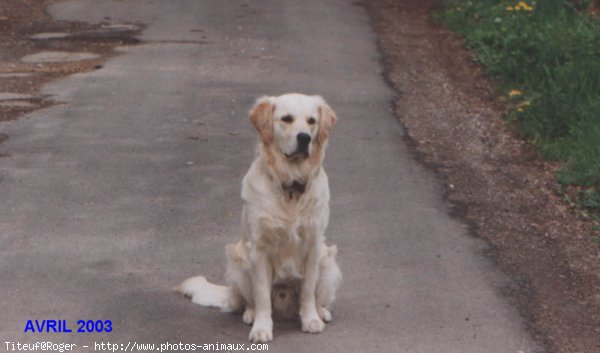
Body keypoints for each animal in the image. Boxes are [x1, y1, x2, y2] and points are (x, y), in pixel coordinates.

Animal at [176, 93, 340, 340]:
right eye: (287, 119)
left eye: (312, 121)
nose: (305, 138)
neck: (290, 185)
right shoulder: (259, 249)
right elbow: (262, 296)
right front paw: (261, 328)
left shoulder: (313, 246)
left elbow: (308, 290)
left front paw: (311, 319)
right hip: (239, 262)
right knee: (250, 301)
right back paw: (250, 315)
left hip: (328, 261)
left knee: (316, 296)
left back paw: (321, 312)